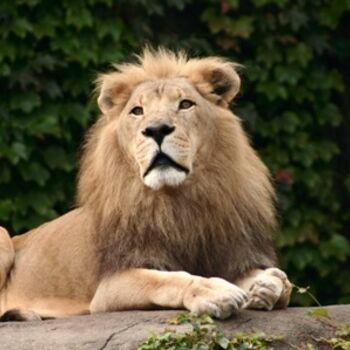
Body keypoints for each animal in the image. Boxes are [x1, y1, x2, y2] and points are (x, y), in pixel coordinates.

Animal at [0, 49, 292, 322]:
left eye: (185, 104)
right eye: (137, 111)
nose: (157, 129)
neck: (179, 199)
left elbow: (280, 281)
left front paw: (268, 284)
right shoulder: (111, 284)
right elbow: (168, 279)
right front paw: (215, 292)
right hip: (4, 235)